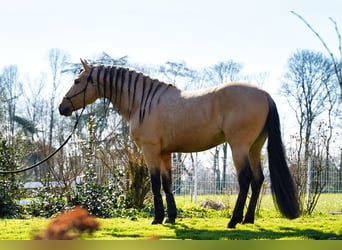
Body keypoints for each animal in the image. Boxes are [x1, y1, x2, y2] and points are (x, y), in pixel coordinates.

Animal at [58, 59, 300, 229]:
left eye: (77, 81)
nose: (62, 107)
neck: (143, 102)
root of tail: (265, 95)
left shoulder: (150, 150)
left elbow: (155, 183)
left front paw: (157, 218)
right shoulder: (166, 153)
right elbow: (167, 184)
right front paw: (171, 217)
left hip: (238, 146)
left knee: (246, 178)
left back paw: (233, 220)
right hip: (254, 147)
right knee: (258, 179)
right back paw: (248, 219)